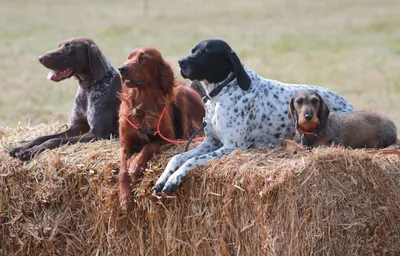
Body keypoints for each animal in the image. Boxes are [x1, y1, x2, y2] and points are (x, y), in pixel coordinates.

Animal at [115, 46, 203, 210]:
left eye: (143, 58)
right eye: (129, 57)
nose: (121, 69)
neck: (142, 107)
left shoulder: (167, 137)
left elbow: (149, 146)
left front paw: (136, 164)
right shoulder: (125, 145)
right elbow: (122, 171)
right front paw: (125, 198)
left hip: (180, 95)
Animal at [153, 39, 354, 193]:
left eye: (206, 52)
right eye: (193, 50)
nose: (181, 62)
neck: (222, 93)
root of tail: (349, 104)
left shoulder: (231, 147)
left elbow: (191, 160)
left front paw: (174, 179)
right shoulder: (210, 142)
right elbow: (177, 157)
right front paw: (163, 177)